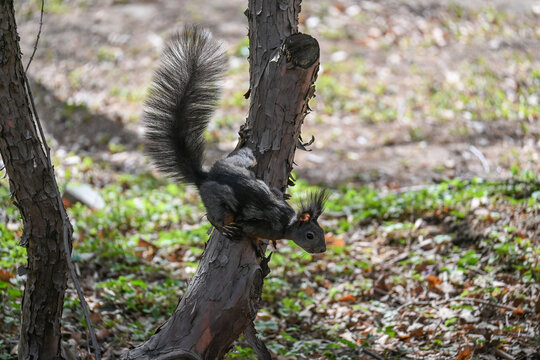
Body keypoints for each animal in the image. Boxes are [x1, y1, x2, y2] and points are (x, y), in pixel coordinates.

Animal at [143, 26, 326, 253]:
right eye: (310, 235)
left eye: (322, 231)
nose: (323, 249)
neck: (287, 223)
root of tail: (204, 177)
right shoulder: (259, 225)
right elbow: (250, 231)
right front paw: (258, 244)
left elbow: (275, 192)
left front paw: (283, 195)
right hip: (219, 202)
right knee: (213, 218)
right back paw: (225, 229)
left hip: (244, 161)